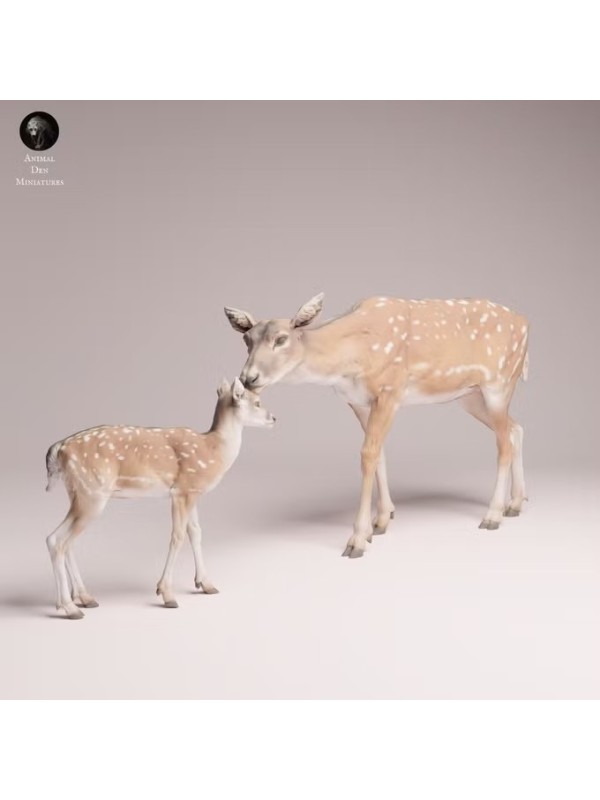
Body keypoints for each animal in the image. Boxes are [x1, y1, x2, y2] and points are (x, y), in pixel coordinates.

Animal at [45, 378, 276, 619]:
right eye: (257, 402)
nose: (274, 418)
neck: (213, 451)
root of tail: (59, 448)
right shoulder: (181, 490)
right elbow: (177, 536)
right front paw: (167, 594)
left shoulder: (193, 492)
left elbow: (196, 533)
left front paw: (206, 584)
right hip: (92, 493)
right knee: (58, 541)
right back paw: (69, 607)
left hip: (78, 493)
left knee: (63, 541)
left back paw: (84, 598)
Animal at [224, 293, 529, 559]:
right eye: (246, 339)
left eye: (281, 339)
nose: (248, 378)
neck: (347, 362)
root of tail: (525, 323)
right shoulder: (358, 401)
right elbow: (378, 453)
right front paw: (381, 521)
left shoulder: (389, 390)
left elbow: (367, 454)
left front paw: (358, 539)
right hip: (469, 395)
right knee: (516, 429)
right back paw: (516, 503)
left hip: (499, 382)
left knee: (503, 441)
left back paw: (493, 515)